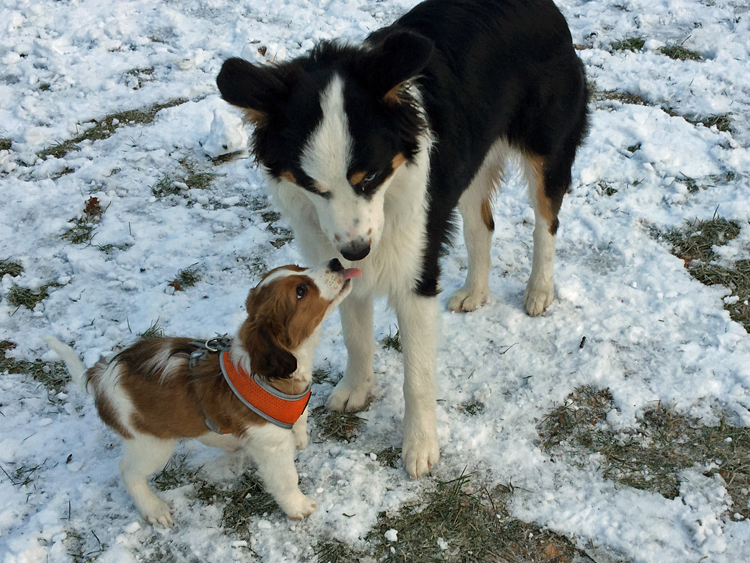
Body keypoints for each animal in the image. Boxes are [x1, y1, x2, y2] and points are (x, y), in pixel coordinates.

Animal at [44, 260, 362, 524]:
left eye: (298, 267)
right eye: (300, 291)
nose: (336, 262)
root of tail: (102, 375)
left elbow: (299, 425)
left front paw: (300, 439)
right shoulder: (270, 445)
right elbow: (286, 478)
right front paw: (298, 507)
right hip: (151, 444)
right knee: (128, 472)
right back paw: (153, 509)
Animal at [217, 0, 588, 480]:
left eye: (370, 177)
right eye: (313, 186)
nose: (355, 251)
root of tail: (546, 8)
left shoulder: (415, 276)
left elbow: (418, 376)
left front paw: (420, 446)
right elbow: (356, 338)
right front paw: (356, 389)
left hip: (546, 147)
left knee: (547, 222)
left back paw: (539, 290)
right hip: (467, 160)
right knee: (481, 224)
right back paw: (475, 292)